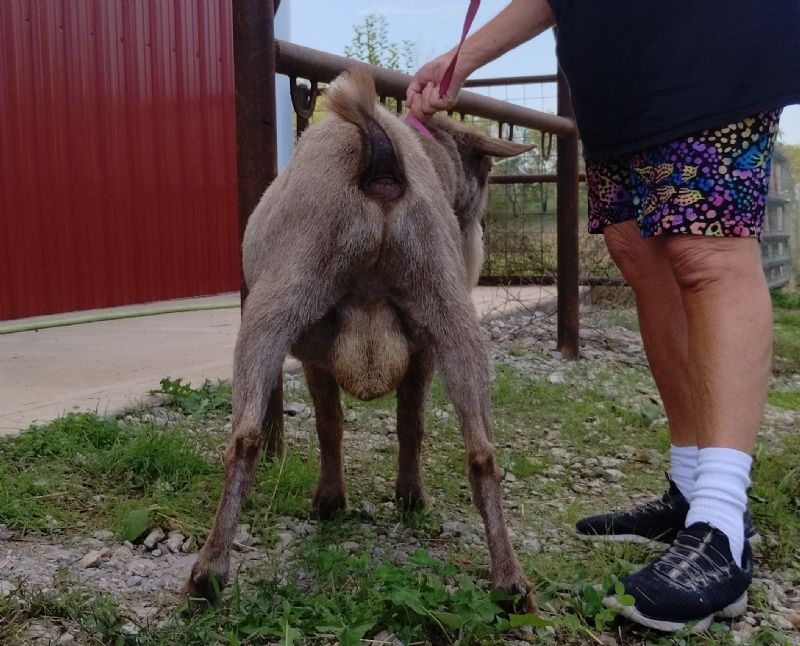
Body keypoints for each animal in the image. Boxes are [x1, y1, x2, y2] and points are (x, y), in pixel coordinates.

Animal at [187, 67, 535, 611]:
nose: (477, 229)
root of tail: (379, 151)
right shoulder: (419, 348)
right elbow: (401, 423)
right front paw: (398, 496)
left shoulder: (315, 355)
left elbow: (332, 423)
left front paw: (332, 499)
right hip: (450, 311)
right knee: (482, 453)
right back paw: (510, 583)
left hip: (279, 300)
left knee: (244, 440)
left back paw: (208, 575)